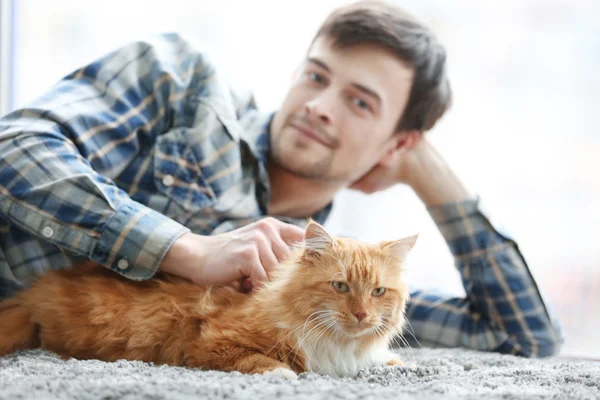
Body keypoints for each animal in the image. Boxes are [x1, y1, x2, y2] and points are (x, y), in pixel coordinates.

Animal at [0, 220, 418, 380]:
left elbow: (383, 359)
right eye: (341, 287)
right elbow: (262, 360)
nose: (361, 315)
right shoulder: (211, 340)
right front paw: (282, 373)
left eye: (378, 292)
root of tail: (38, 288)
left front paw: (400, 362)